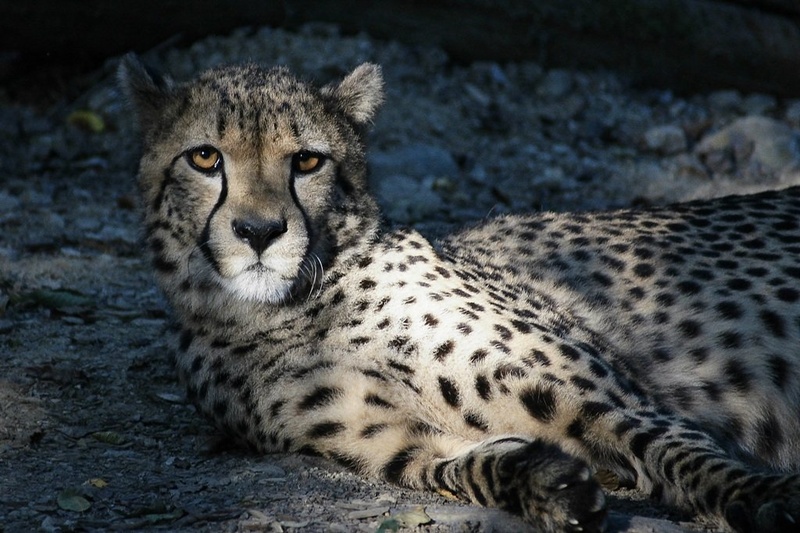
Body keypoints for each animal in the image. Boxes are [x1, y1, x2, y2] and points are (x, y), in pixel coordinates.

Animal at [118, 54, 800, 533]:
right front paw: (543, 483)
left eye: (307, 162)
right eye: (205, 158)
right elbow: (458, 466)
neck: (303, 308)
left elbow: (679, 449)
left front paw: (763, 496)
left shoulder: (606, 397)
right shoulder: (384, 440)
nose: (259, 232)